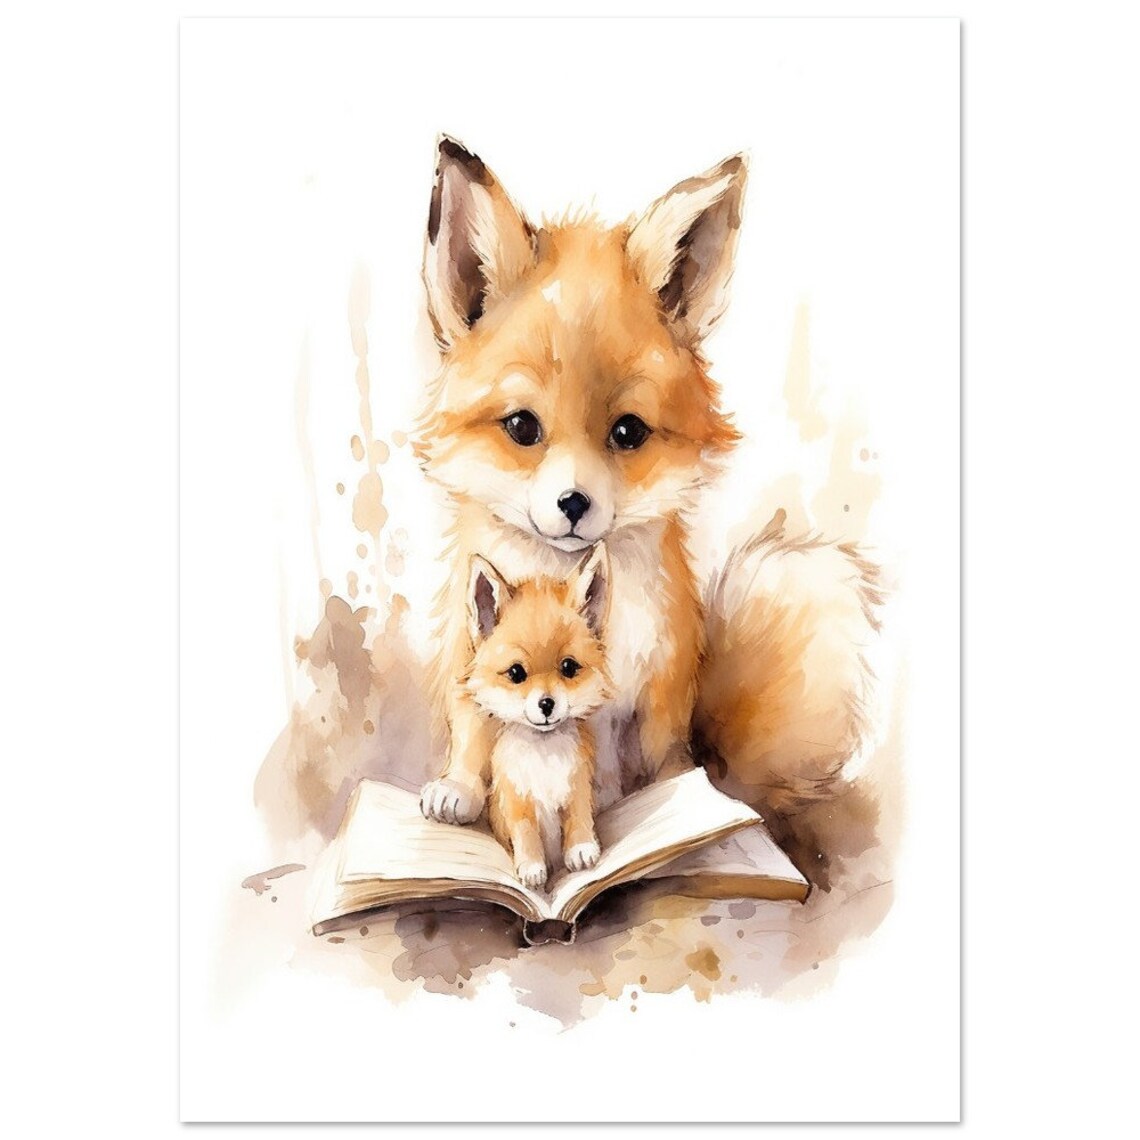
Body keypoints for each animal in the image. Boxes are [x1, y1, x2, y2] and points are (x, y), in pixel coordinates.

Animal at [416, 135, 880, 831]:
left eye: (628, 432)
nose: (574, 503)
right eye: (523, 426)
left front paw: (670, 811)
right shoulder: (473, 660)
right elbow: (474, 735)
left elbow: (663, 769)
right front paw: (459, 793)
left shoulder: (659, 689)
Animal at [452, 546, 610, 889]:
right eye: (516, 673)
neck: (544, 757)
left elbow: (579, 817)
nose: (547, 703)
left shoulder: (577, 784)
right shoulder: (515, 798)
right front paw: (532, 871)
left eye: (568, 668)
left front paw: (581, 851)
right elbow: (526, 834)